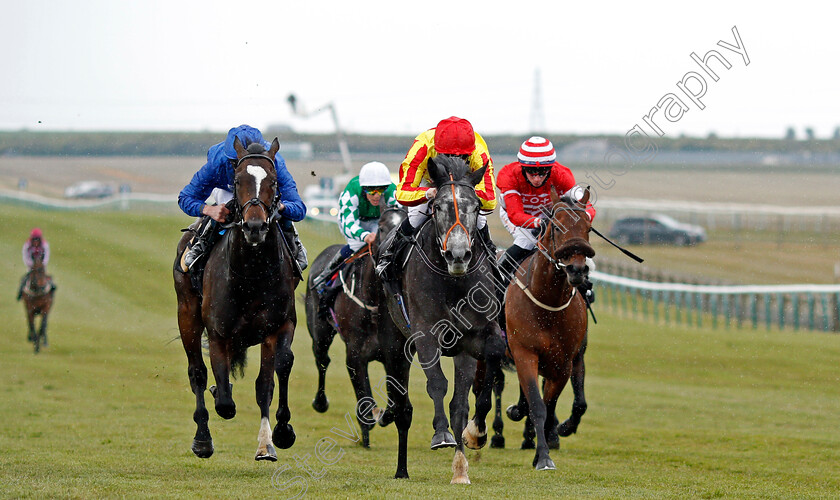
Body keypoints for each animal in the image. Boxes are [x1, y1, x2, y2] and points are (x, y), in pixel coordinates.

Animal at [172, 137, 300, 460]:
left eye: (274, 181)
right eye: (238, 179)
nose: (255, 226)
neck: (251, 274)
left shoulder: (278, 327)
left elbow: (269, 379)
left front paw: (272, 439)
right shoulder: (219, 332)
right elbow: (225, 402)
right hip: (187, 315)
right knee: (197, 372)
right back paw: (202, 439)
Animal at [306, 201, 416, 452]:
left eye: (404, 224)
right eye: (382, 227)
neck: (375, 303)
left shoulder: (396, 355)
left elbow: (396, 400)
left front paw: (386, 414)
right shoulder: (355, 354)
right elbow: (365, 404)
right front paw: (369, 425)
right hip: (319, 332)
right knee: (322, 359)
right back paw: (320, 402)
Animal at [386, 157, 506, 484]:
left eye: (476, 207)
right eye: (438, 206)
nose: (458, 254)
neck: (454, 282)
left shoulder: (475, 336)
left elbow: (468, 397)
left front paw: (474, 438)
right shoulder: (425, 334)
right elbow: (437, 384)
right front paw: (441, 434)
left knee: (460, 401)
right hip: (398, 342)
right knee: (403, 405)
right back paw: (401, 468)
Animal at [502, 187, 592, 468]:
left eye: (588, 227)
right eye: (557, 227)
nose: (576, 269)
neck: (547, 303)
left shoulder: (564, 362)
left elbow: (550, 405)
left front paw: (549, 441)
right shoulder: (524, 353)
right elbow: (538, 406)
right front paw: (542, 457)